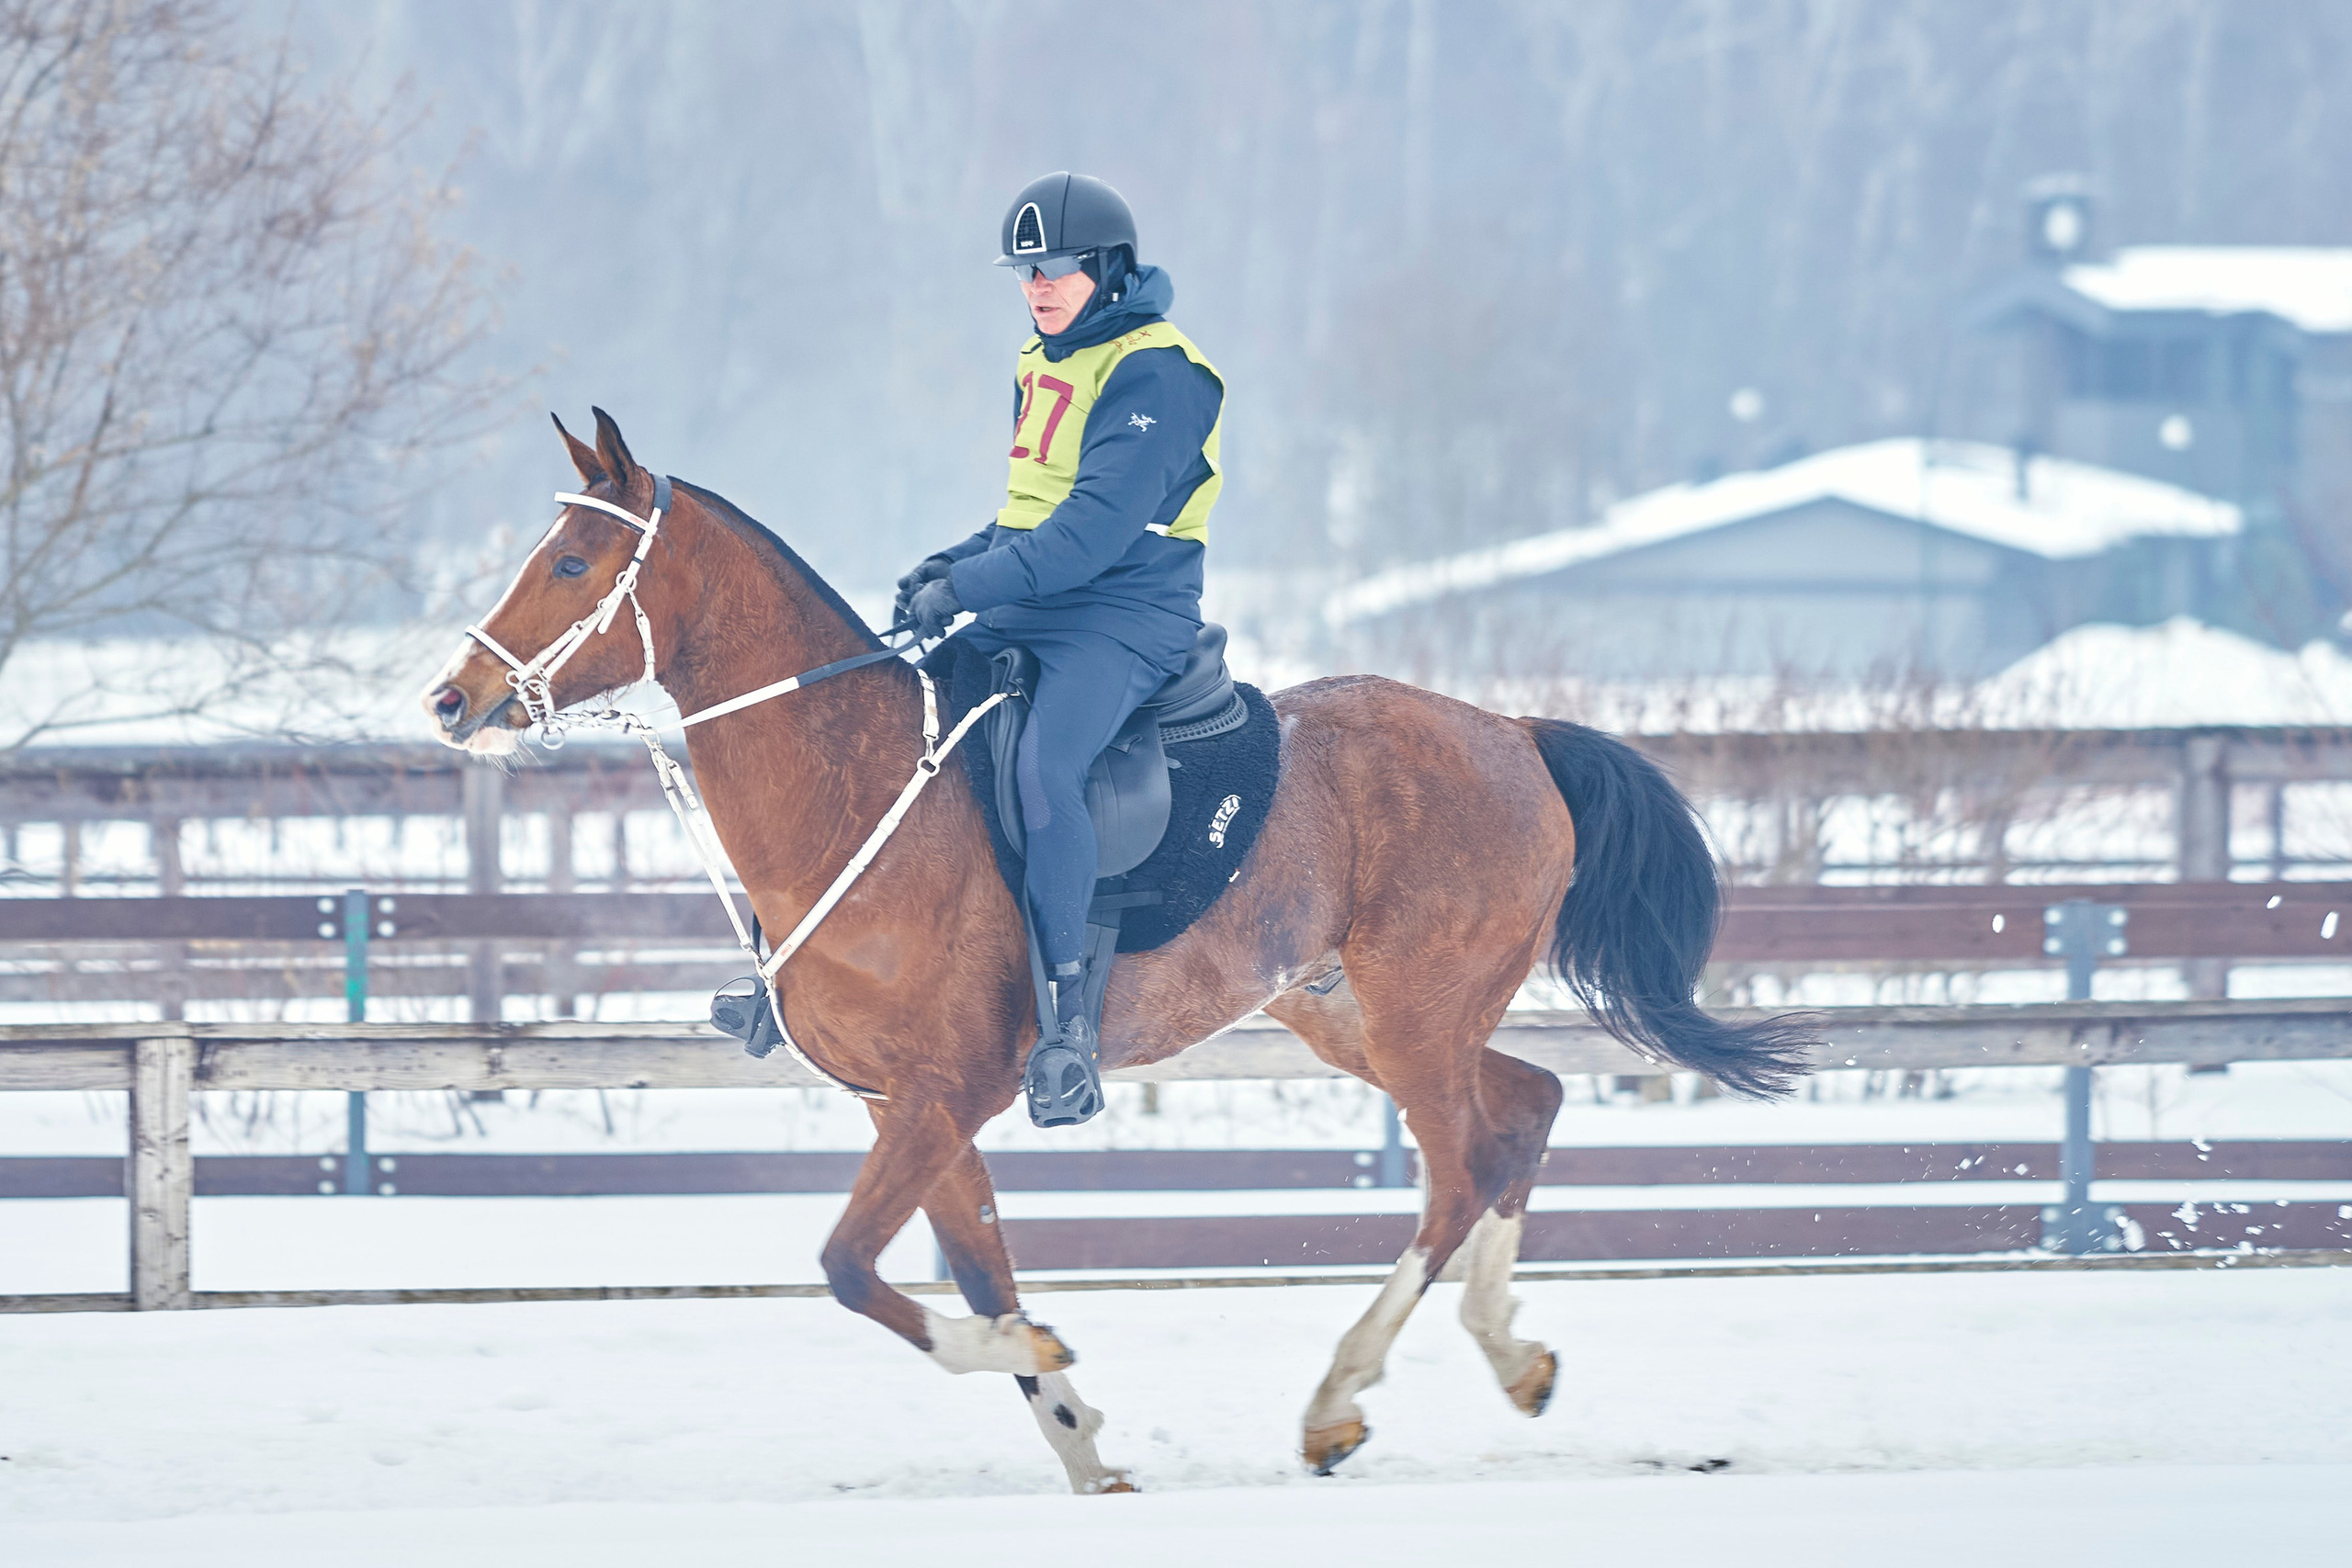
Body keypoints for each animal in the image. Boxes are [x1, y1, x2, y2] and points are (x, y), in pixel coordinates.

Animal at [421, 409, 1815, 1493]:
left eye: (572, 559)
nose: (450, 699)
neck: (857, 785)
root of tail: (1515, 735)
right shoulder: (912, 1109)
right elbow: (970, 1267)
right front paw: (1083, 1440)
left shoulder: (944, 1095)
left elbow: (853, 1269)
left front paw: (1041, 1363)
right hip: (1350, 1010)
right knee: (1529, 1105)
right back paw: (1511, 1353)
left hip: (1415, 1015)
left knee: (1462, 1168)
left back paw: (1338, 1397)